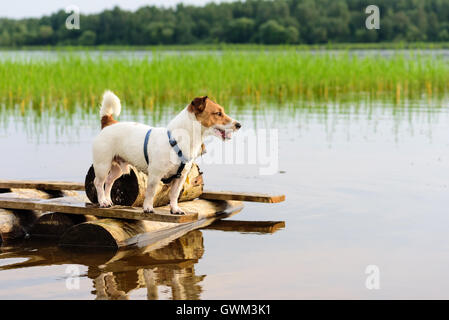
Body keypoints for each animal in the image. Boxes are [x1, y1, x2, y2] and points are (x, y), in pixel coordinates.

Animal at [92, 90, 242, 215]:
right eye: (218, 113)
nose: (239, 125)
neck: (179, 140)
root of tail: (109, 123)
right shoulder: (155, 175)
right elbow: (150, 193)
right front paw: (148, 207)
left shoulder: (180, 177)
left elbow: (174, 195)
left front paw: (175, 209)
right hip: (102, 165)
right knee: (98, 183)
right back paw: (102, 201)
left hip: (118, 168)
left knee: (109, 181)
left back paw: (108, 200)